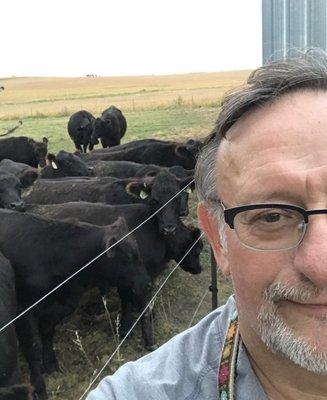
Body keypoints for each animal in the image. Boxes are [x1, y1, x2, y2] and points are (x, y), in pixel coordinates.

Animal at [0, 211, 151, 398]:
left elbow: (47, 332)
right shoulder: (23, 310)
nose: (147, 284)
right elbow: (33, 349)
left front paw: (50, 364)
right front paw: (40, 388)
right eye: (129, 257)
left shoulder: (55, 306)